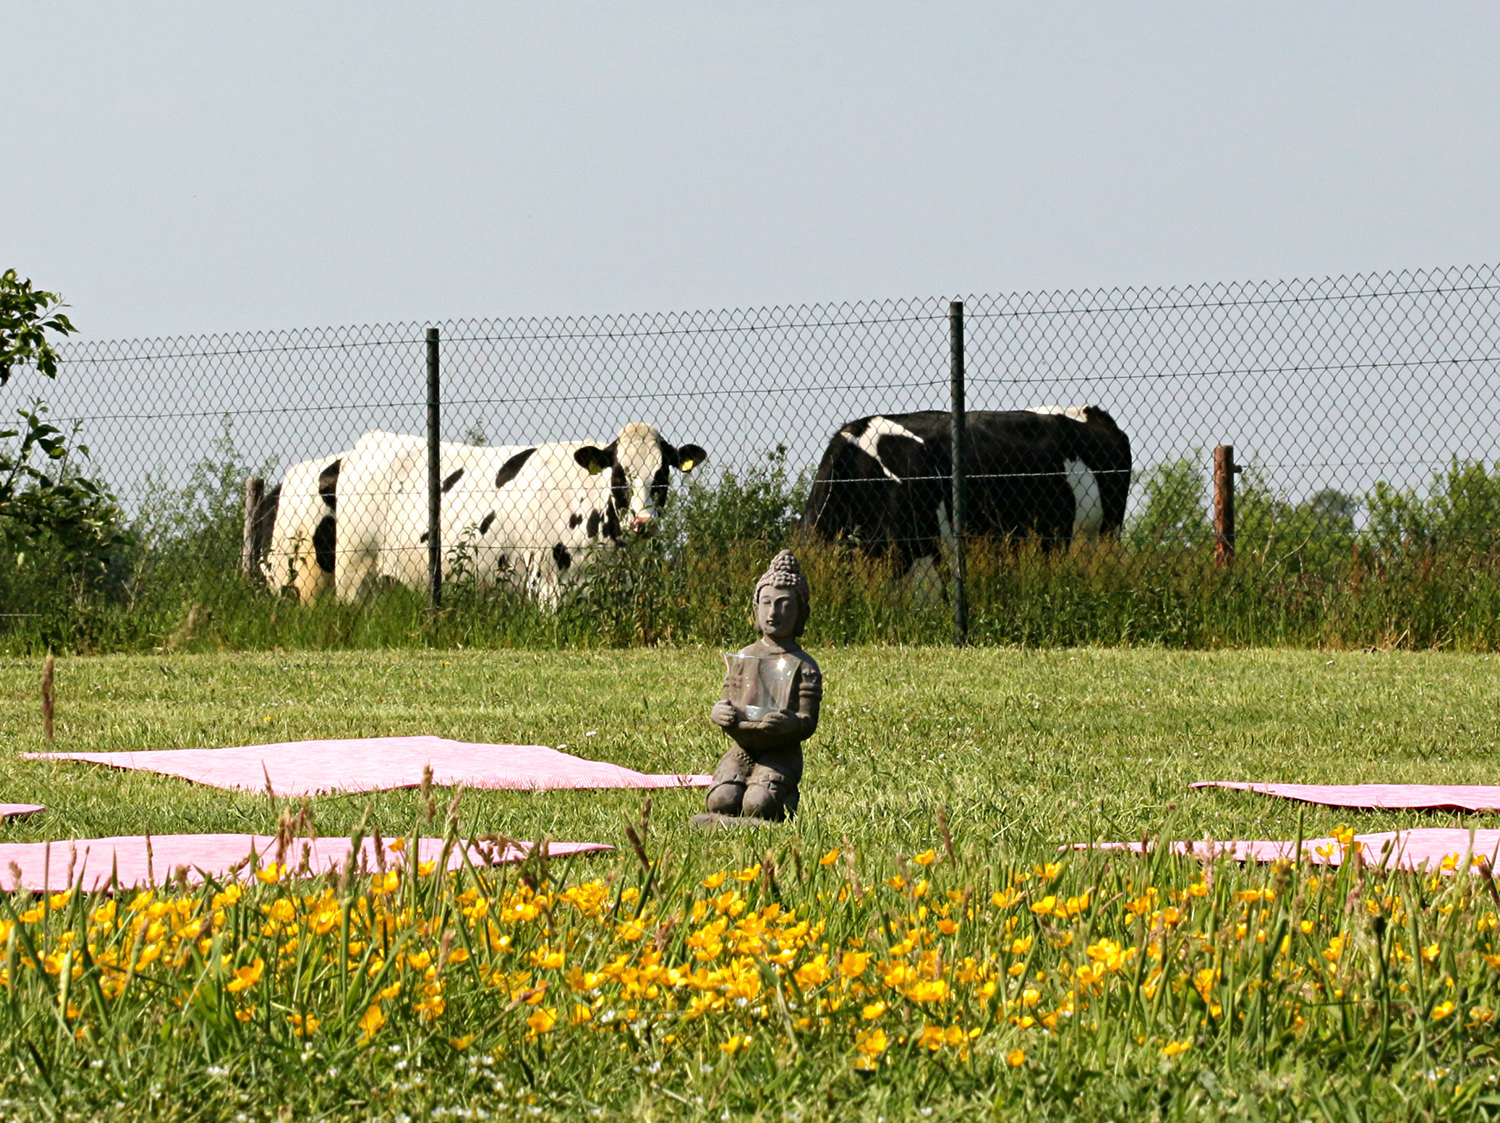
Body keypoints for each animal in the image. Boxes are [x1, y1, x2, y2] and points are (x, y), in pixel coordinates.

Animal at [333, 422, 702, 605]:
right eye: (620, 473)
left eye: (662, 472)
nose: (643, 522)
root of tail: (370, 442)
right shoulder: (547, 585)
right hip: (355, 575)